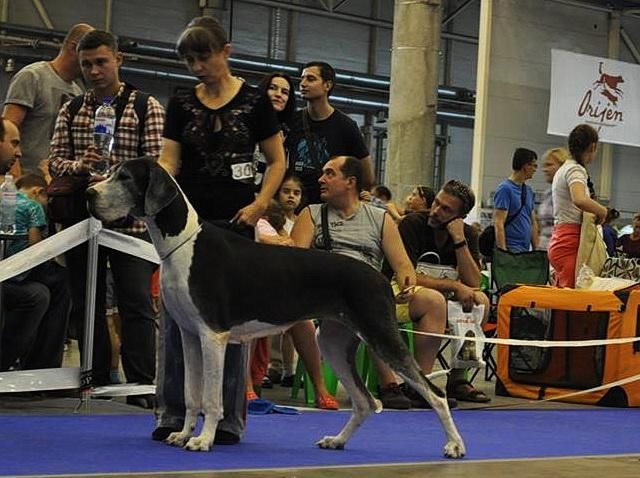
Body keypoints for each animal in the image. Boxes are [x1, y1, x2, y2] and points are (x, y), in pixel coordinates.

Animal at [86, 157, 466, 458]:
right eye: (112, 172)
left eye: (125, 177)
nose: (89, 193)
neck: (183, 243)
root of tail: (381, 278)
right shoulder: (190, 336)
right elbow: (191, 395)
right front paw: (182, 434)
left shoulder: (213, 336)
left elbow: (210, 398)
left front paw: (203, 440)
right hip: (333, 341)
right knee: (364, 402)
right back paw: (337, 440)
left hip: (381, 334)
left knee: (434, 394)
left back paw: (455, 445)